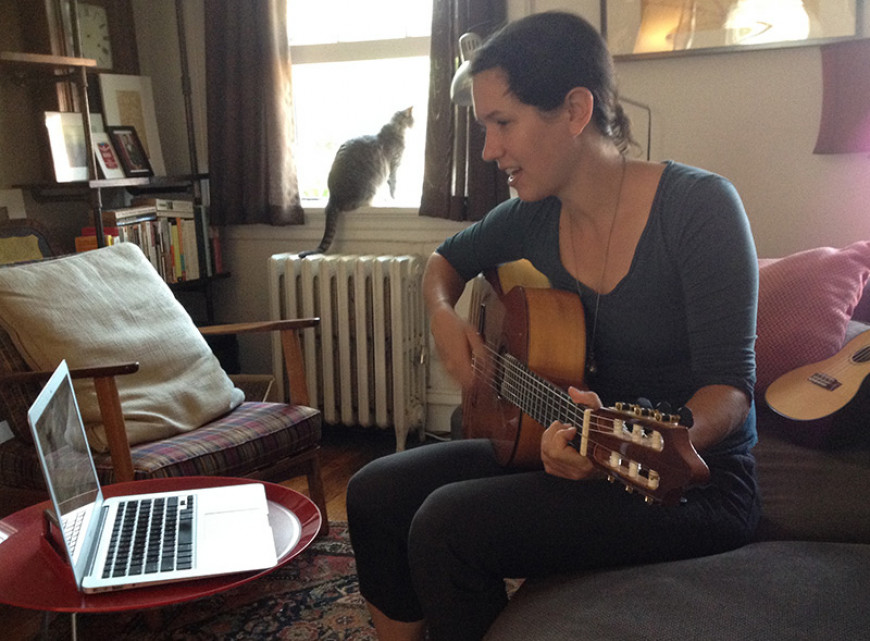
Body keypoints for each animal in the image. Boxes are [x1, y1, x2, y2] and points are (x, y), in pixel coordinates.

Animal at [300, 106, 416, 256]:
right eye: (413, 119)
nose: (415, 123)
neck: (395, 129)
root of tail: (333, 198)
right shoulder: (394, 166)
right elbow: (393, 185)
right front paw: (394, 198)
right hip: (370, 187)